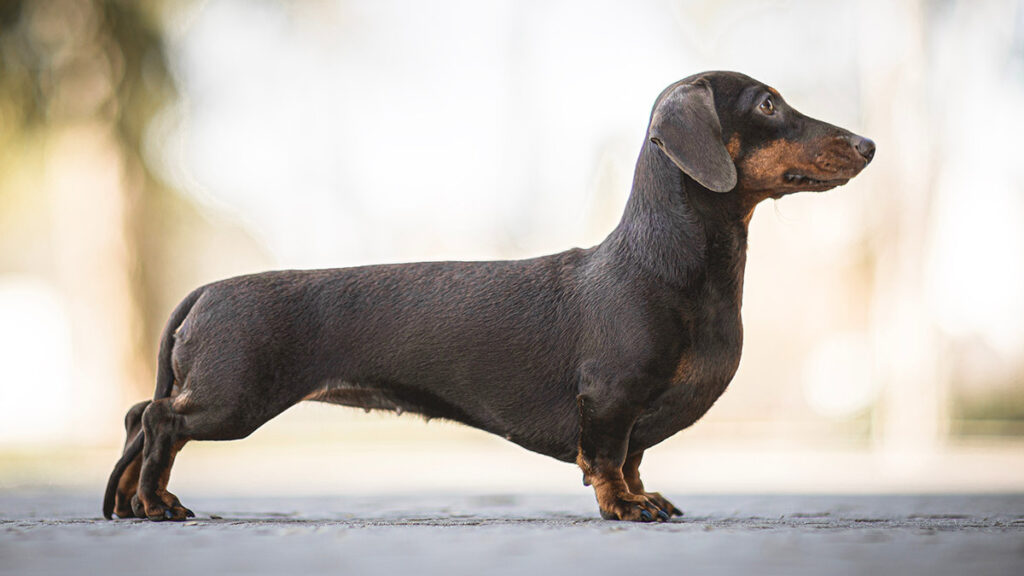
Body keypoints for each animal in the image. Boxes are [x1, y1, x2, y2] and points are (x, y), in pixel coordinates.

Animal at [103, 70, 872, 520]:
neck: (667, 265)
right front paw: (625, 508)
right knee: (159, 421)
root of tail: (205, 290)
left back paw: (140, 501)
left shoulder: (634, 413)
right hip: (234, 400)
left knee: (142, 419)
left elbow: (633, 458)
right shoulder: (612, 398)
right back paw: (156, 502)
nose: (866, 143)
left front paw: (643, 495)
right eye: (768, 103)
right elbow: (608, 459)